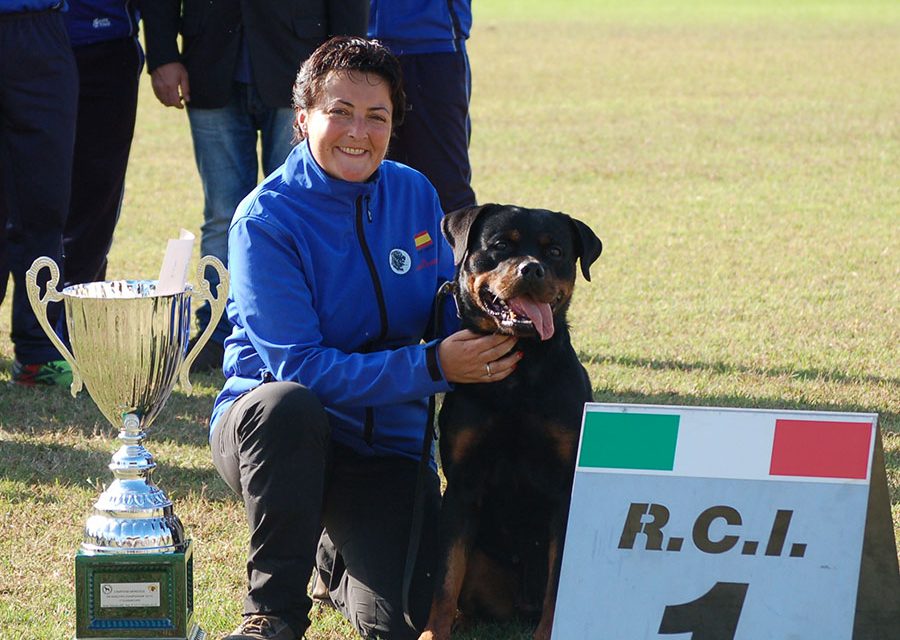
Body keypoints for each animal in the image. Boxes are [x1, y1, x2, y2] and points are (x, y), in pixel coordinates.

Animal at [422, 205, 604, 640]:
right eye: (501, 245)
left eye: (555, 251)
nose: (532, 269)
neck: (518, 377)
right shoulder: (463, 487)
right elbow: (445, 578)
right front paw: (432, 633)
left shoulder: (565, 487)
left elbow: (558, 585)